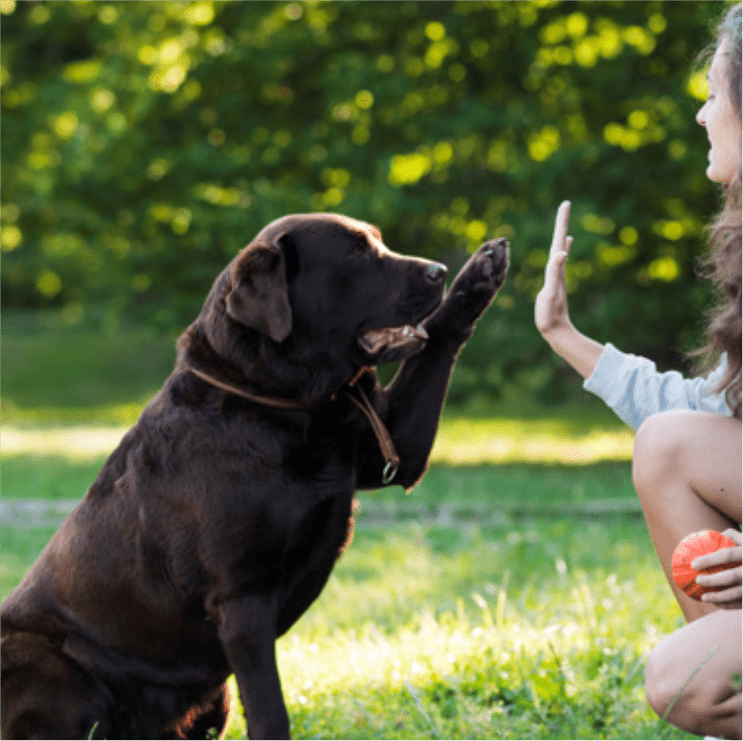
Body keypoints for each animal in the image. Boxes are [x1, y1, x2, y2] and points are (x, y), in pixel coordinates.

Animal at [0, 211, 508, 736]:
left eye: (380, 243)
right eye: (356, 252)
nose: (438, 270)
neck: (290, 406)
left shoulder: (394, 452)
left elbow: (436, 347)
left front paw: (480, 275)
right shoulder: (243, 597)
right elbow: (269, 709)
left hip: (213, 699)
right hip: (46, 660)